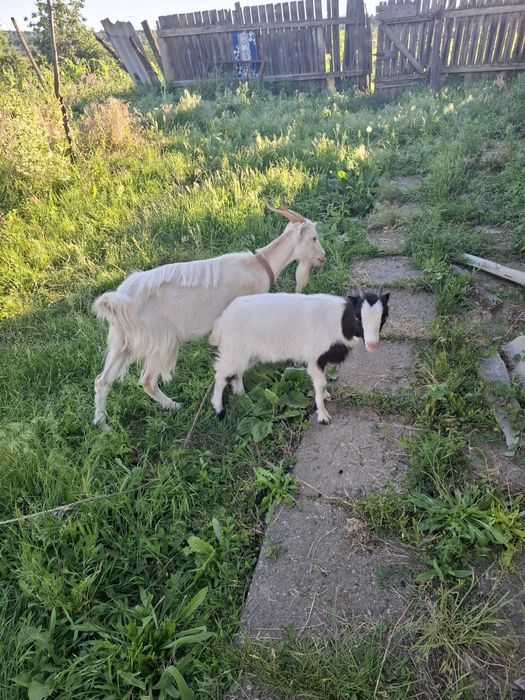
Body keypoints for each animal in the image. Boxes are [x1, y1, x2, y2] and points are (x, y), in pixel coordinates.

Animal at [92, 204, 326, 430]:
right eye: (314, 238)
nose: (323, 258)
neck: (259, 266)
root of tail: (119, 301)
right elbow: (238, 363)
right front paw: (240, 392)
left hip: (121, 342)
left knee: (102, 381)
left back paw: (103, 425)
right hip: (160, 340)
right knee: (147, 381)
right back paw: (173, 405)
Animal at [210, 291, 390, 425]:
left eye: (384, 317)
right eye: (358, 317)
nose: (372, 344)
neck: (339, 323)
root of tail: (221, 321)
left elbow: (323, 382)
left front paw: (326, 396)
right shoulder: (315, 356)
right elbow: (320, 384)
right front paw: (323, 416)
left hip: (243, 351)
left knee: (237, 372)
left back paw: (240, 394)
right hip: (233, 348)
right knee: (221, 375)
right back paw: (219, 410)